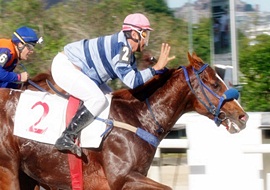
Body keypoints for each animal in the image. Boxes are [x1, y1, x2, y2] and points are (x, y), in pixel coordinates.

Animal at [0, 52, 249, 190]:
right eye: (215, 84)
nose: (243, 116)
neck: (140, 118)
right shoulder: (121, 179)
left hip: (27, 175)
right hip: (8, 170)